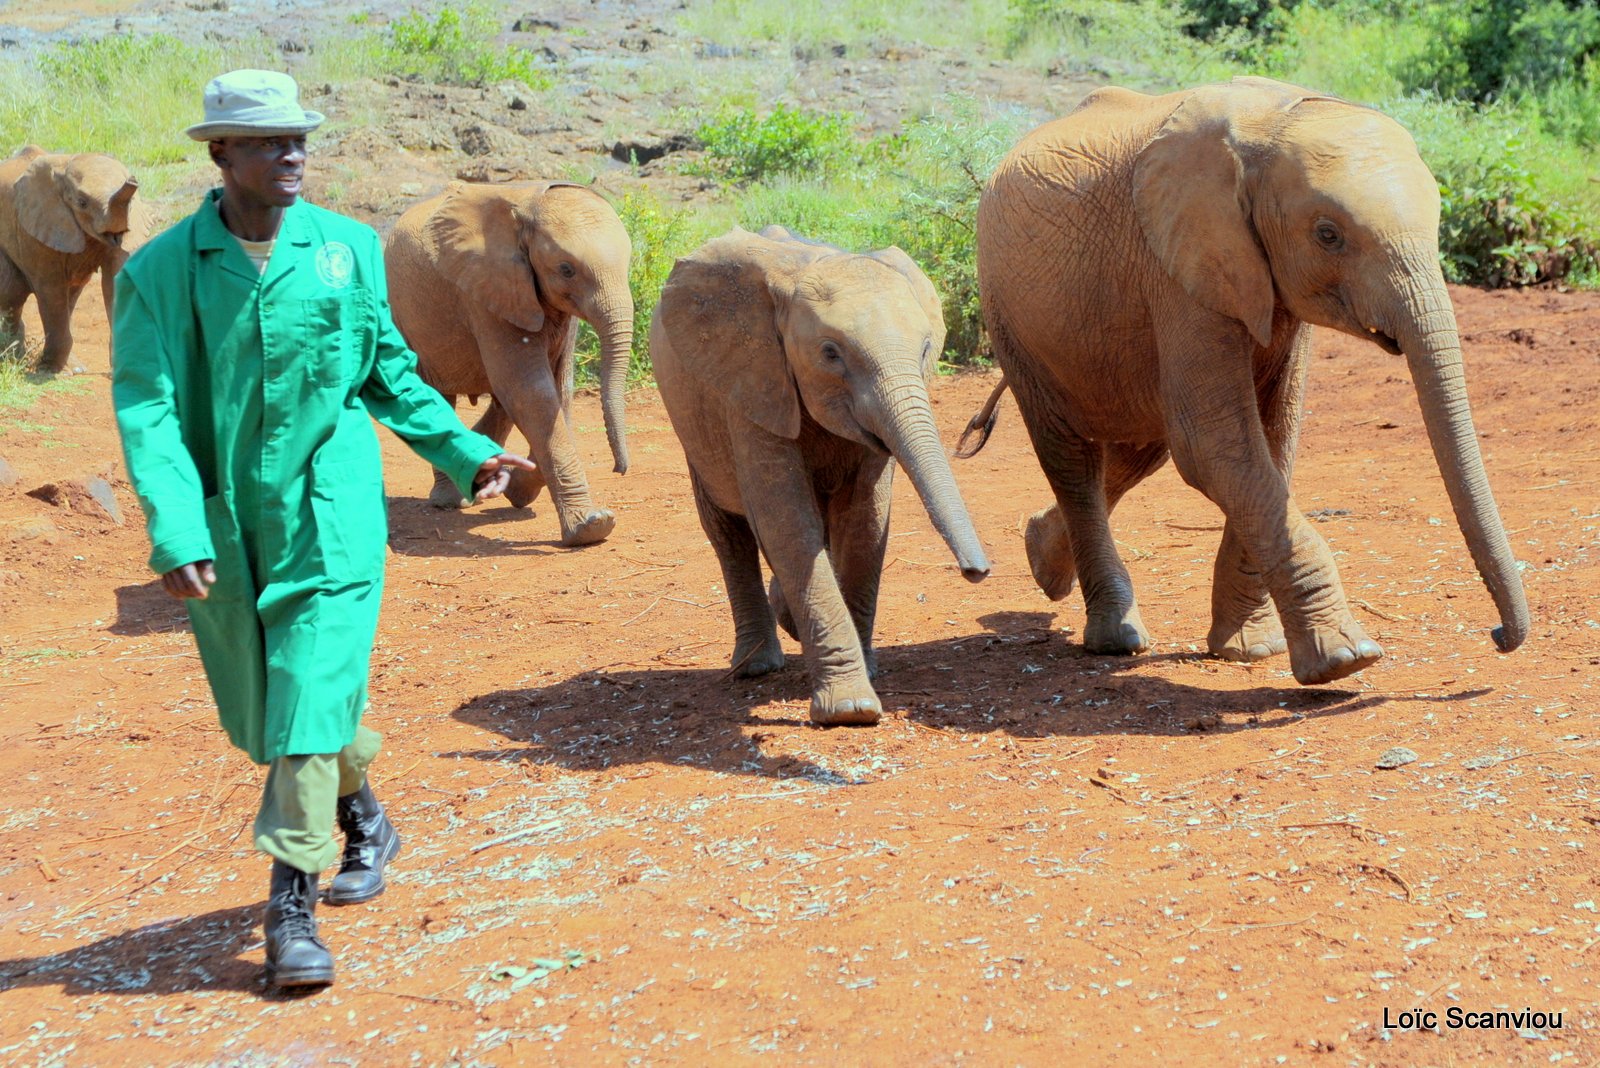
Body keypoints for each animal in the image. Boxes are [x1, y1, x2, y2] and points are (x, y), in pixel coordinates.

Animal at [0, 143, 148, 374]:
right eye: (82, 202)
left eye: (132, 202)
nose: (132, 180)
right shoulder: (33, 230)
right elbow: (50, 289)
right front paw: (48, 370)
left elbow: (114, 283)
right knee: (12, 294)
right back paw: (14, 357)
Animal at [384, 180, 633, 546]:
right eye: (566, 269)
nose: (620, 469)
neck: (527, 207)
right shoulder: (486, 289)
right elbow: (531, 390)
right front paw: (592, 526)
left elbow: (558, 389)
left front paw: (517, 491)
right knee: (437, 396)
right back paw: (450, 499)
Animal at [649, 225, 985, 725]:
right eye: (830, 354)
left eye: (927, 349)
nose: (977, 572)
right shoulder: (753, 383)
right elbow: (786, 521)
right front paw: (850, 709)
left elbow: (866, 519)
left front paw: (865, 674)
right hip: (692, 423)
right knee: (728, 531)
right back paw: (755, 667)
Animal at [966, 75, 1529, 684]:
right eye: (1328, 235)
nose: (1498, 637)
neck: (1273, 122)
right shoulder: (1180, 270)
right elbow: (1216, 446)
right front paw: (1344, 660)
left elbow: (1268, 442)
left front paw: (1249, 649)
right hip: (1009, 315)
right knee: (1073, 459)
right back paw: (1115, 638)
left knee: (1138, 451)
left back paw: (1042, 557)